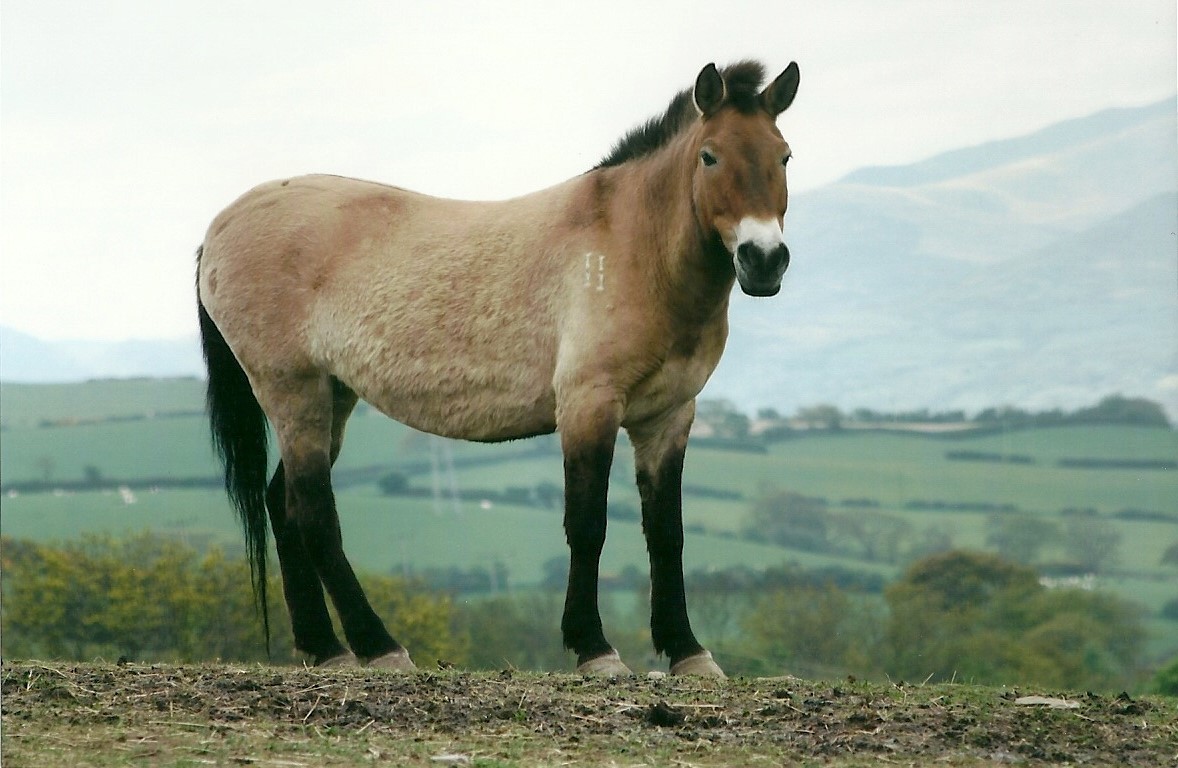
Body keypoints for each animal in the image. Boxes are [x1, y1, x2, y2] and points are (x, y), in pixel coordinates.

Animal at [196, 59, 800, 677]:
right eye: (709, 156)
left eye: (783, 156)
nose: (763, 260)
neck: (632, 248)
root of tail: (219, 228)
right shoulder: (589, 405)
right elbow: (588, 524)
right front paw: (595, 649)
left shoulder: (669, 417)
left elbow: (667, 533)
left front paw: (688, 652)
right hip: (293, 390)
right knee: (314, 510)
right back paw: (378, 646)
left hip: (332, 394)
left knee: (283, 502)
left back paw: (325, 647)